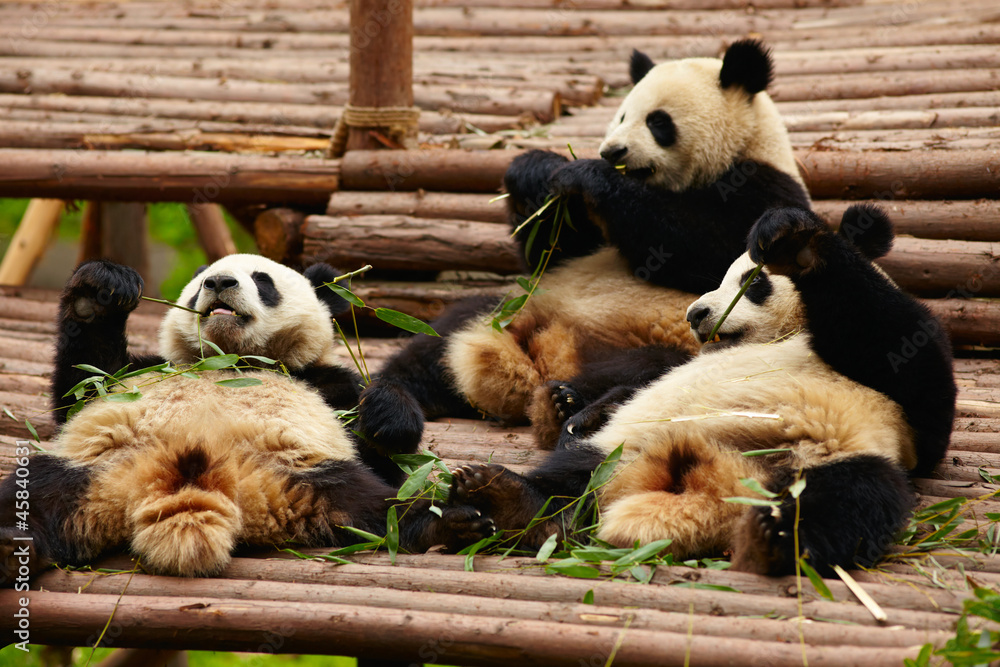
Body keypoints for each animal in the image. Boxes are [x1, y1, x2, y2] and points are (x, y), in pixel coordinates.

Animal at [0, 255, 491, 583]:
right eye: (199, 282)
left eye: (262, 279)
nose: (219, 282)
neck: (233, 360)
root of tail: (199, 488)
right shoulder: (143, 372)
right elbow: (83, 385)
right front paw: (97, 292)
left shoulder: (323, 384)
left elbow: (385, 452)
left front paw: (385, 413)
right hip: (94, 472)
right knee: (33, 492)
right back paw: (12, 547)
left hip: (312, 475)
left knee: (379, 507)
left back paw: (449, 520)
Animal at [357, 39, 812, 454]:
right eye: (621, 115)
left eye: (658, 121)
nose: (613, 151)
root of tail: (537, 363)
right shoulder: (584, 238)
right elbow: (553, 248)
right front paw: (536, 170)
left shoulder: (763, 187)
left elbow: (707, 246)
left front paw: (587, 174)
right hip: (512, 311)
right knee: (434, 343)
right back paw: (388, 410)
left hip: (672, 343)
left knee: (648, 369)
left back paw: (567, 406)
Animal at [448, 204, 956, 575]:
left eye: (752, 282)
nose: (695, 313)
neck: (785, 334)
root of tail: (714, 484)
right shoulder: (678, 365)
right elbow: (636, 383)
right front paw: (576, 412)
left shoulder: (901, 399)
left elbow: (901, 349)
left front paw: (794, 243)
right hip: (622, 450)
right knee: (571, 481)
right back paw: (506, 499)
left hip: (829, 456)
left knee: (850, 497)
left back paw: (772, 539)